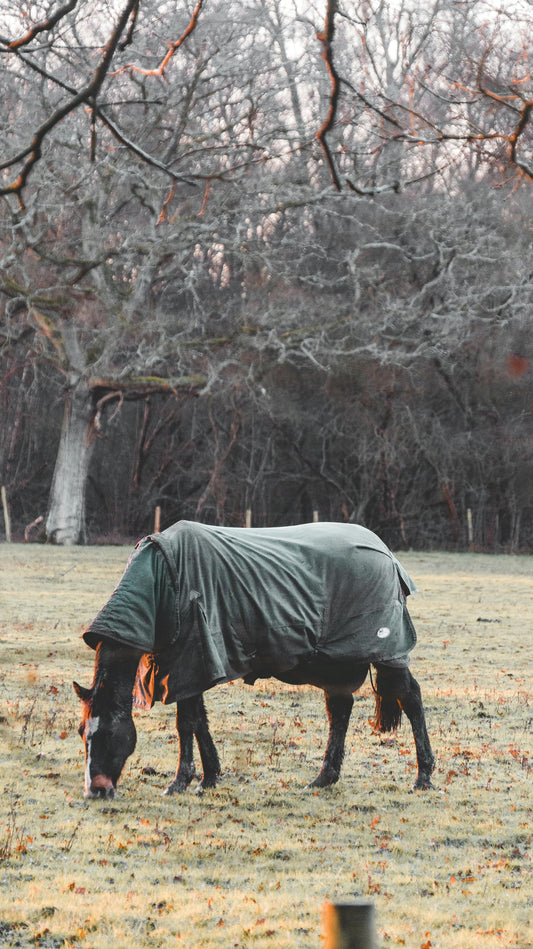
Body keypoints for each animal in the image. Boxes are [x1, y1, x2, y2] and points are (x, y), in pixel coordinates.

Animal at [72, 524, 434, 796]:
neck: (164, 583)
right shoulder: (192, 668)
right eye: (81, 733)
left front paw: (180, 782)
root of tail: (385, 553)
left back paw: (424, 777)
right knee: (340, 710)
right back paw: (323, 779)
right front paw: (210, 777)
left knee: (411, 699)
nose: (96, 791)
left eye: (108, 734)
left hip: (386, 653)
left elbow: (186, 723)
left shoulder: (189, 663)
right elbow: (199, 722)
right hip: (337, 661)